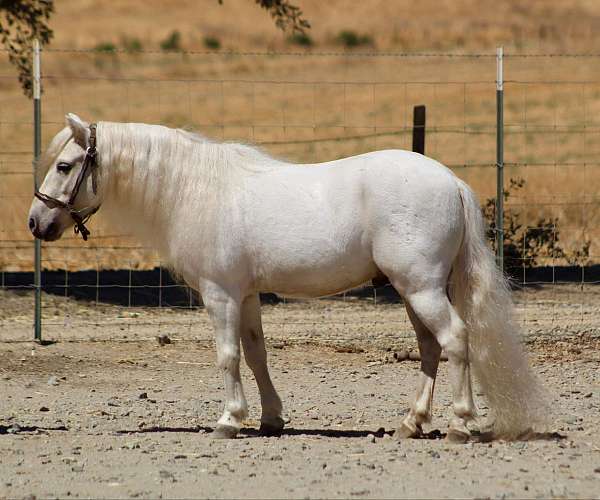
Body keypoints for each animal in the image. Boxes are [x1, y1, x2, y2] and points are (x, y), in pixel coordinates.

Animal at [30, 114, 552, 442]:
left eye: (64, 165)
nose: (36, 223)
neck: (197, 191)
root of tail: (451, 181)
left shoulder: (220, 295)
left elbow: (227, 356)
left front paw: (228, 420)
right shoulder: (247, 296)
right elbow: (257, 354)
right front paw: (270, 419)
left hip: (421, 288)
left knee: (456, 341)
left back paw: (460, 425)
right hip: (415, 291)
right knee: (430, 349)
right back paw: (410, 423)